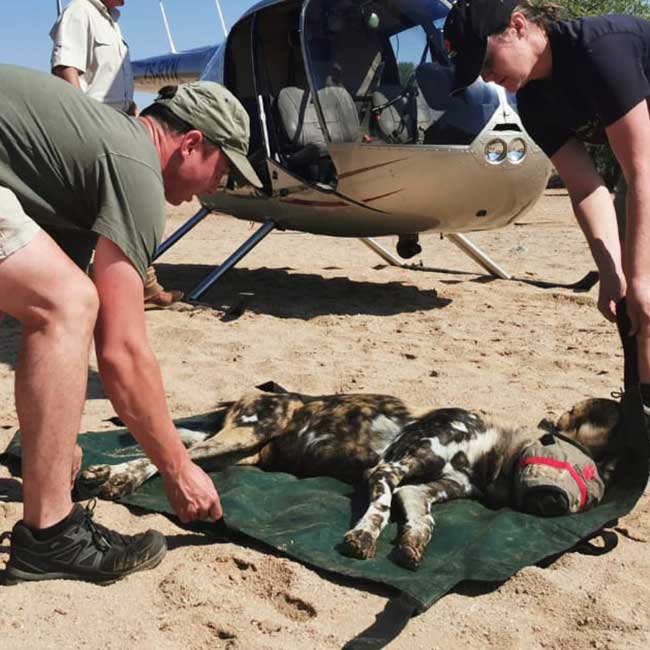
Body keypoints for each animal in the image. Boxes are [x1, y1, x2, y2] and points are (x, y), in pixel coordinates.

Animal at [79, 390, 624, 568]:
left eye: (591, 494)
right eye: (577, 466)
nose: (556, 503)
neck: (486, 456)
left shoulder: (420, 490)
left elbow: (421, 522)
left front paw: (411, 546)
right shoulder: (388, 470)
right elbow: (379, 510)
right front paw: (363, 537)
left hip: (243, 452)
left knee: (174, 454)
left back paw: (106, 471)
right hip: (244, 435)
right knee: (170, 459)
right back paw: (117, 480)